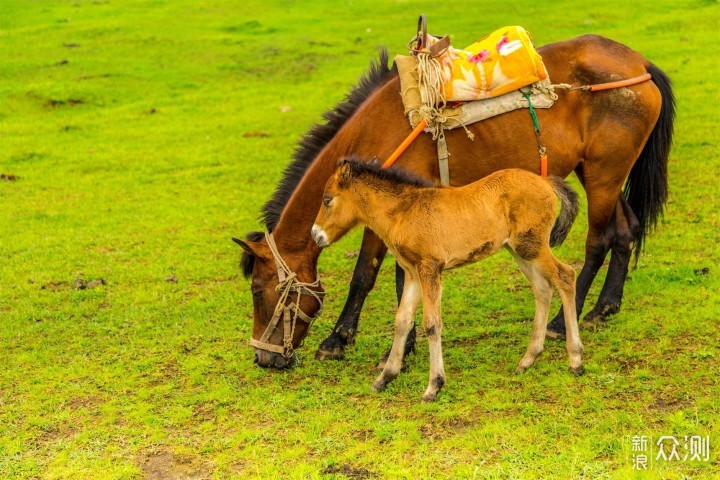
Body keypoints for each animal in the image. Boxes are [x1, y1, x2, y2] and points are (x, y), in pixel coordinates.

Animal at [238, 33, 676, 370]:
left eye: (258, 291)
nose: (264, 358)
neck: (372, 133)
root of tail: (638, 62)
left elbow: (366, 275)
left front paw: (340, 341)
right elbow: (398, 280)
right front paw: (402, 346)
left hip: (604, 176)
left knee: (598, 241)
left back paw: (558, 323)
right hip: (601, 175)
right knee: (626, 229)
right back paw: (606, 307)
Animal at [312, 158, 584, 402]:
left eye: (327, 200)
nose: (316, 236)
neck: (403, 212)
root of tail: (545, 181)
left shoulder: (430, 268)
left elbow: (431, 323)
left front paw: (434, 387)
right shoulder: (412, 273)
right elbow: (402, 321)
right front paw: (385, 378)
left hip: (532, 246)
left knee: (566, 276)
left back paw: (575, 361)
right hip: (518, 250)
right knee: (543, 288)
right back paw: (528, 360)